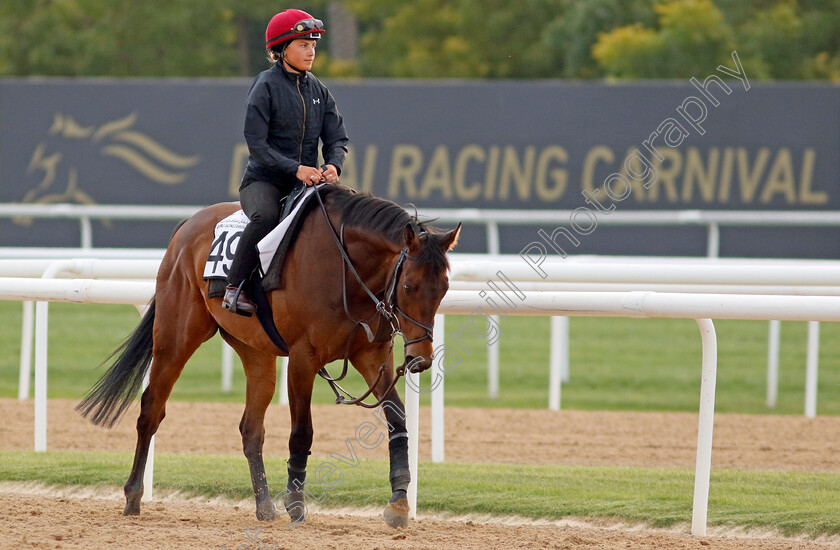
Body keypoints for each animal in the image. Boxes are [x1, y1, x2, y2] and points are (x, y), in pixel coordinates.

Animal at [74, 187, 460, 532]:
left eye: (443, 288)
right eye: (409, 286)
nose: (420, 358)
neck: (346, 270)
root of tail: (186, 226)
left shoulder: (371, 355)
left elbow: (397, 419)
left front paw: (399, 501)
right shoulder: (303, 358)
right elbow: (302, 432)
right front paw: (296, 503)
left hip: (256, 353)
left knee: (251, 429)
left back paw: (264, 507)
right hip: (175, 339)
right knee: (151, 410)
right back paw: (133, 497)